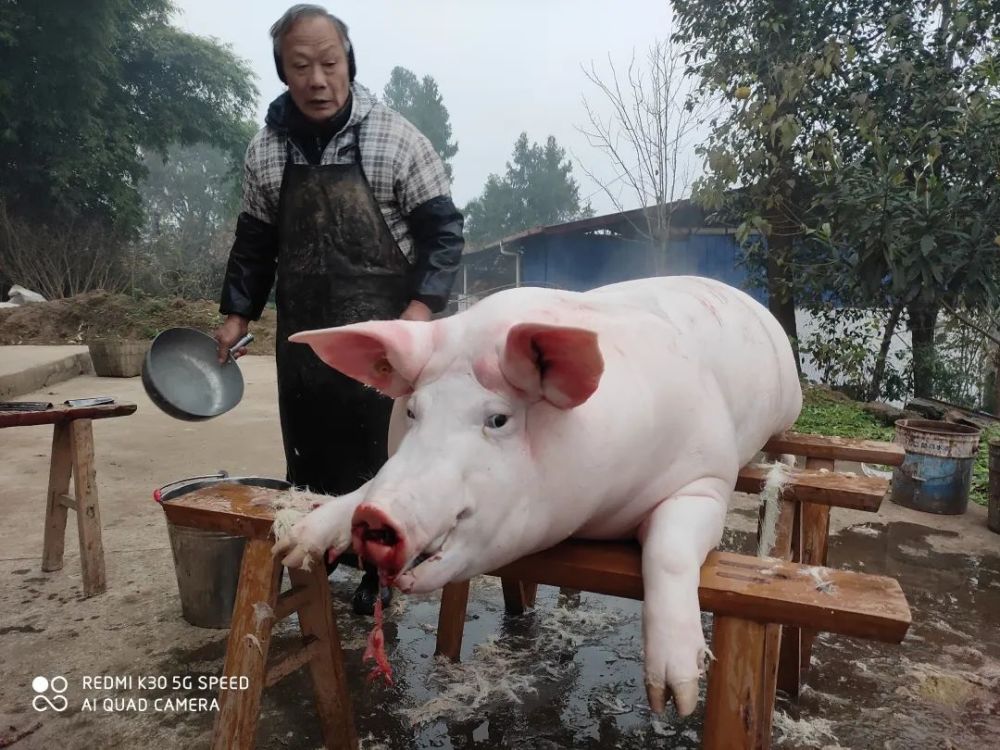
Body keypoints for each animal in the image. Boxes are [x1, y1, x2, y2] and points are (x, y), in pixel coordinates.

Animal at [274, 276, 804, 716]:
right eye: (413, 411)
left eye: (498, 419)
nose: (375, 518)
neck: (596, 514)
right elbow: (367, 481)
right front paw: (295, 544)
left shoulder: (707, 475)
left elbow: (668, 552)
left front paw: (675, 701)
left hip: (790, 409)